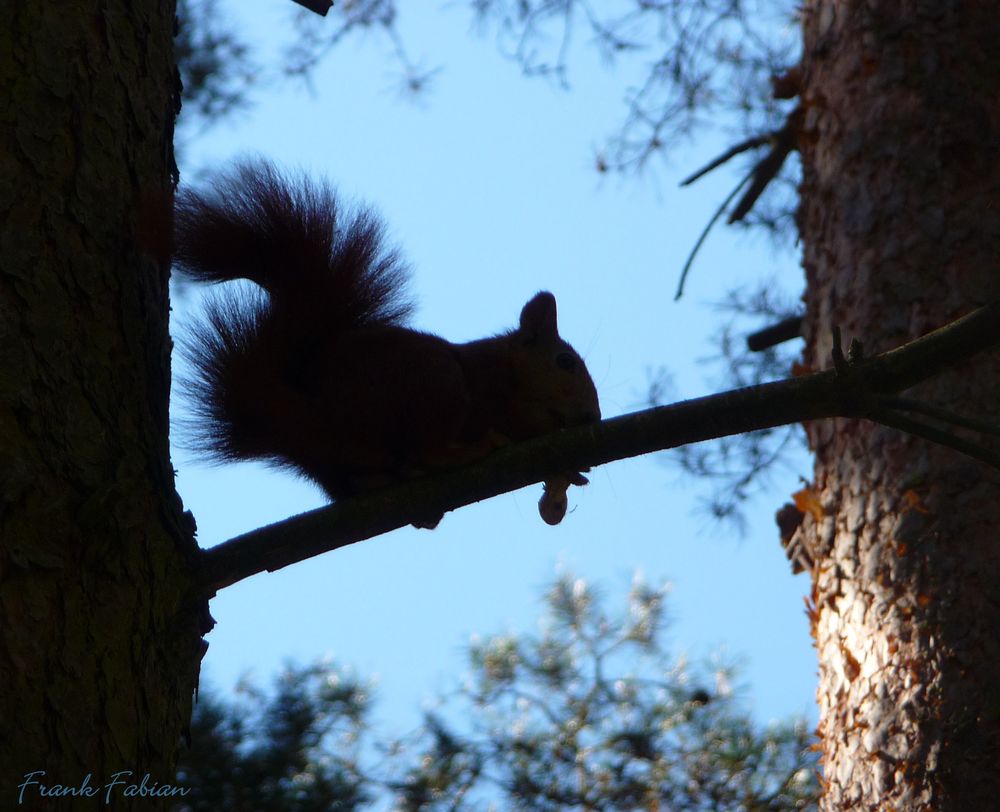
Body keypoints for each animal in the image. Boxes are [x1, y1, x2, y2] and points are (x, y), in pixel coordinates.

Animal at [174, 160, 600, 528]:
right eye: (565, 362)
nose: (593, 418)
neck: (509, 372)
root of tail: (312, 419)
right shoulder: (488, 388)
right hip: (433, 385)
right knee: (429, 448)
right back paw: (470, 450)